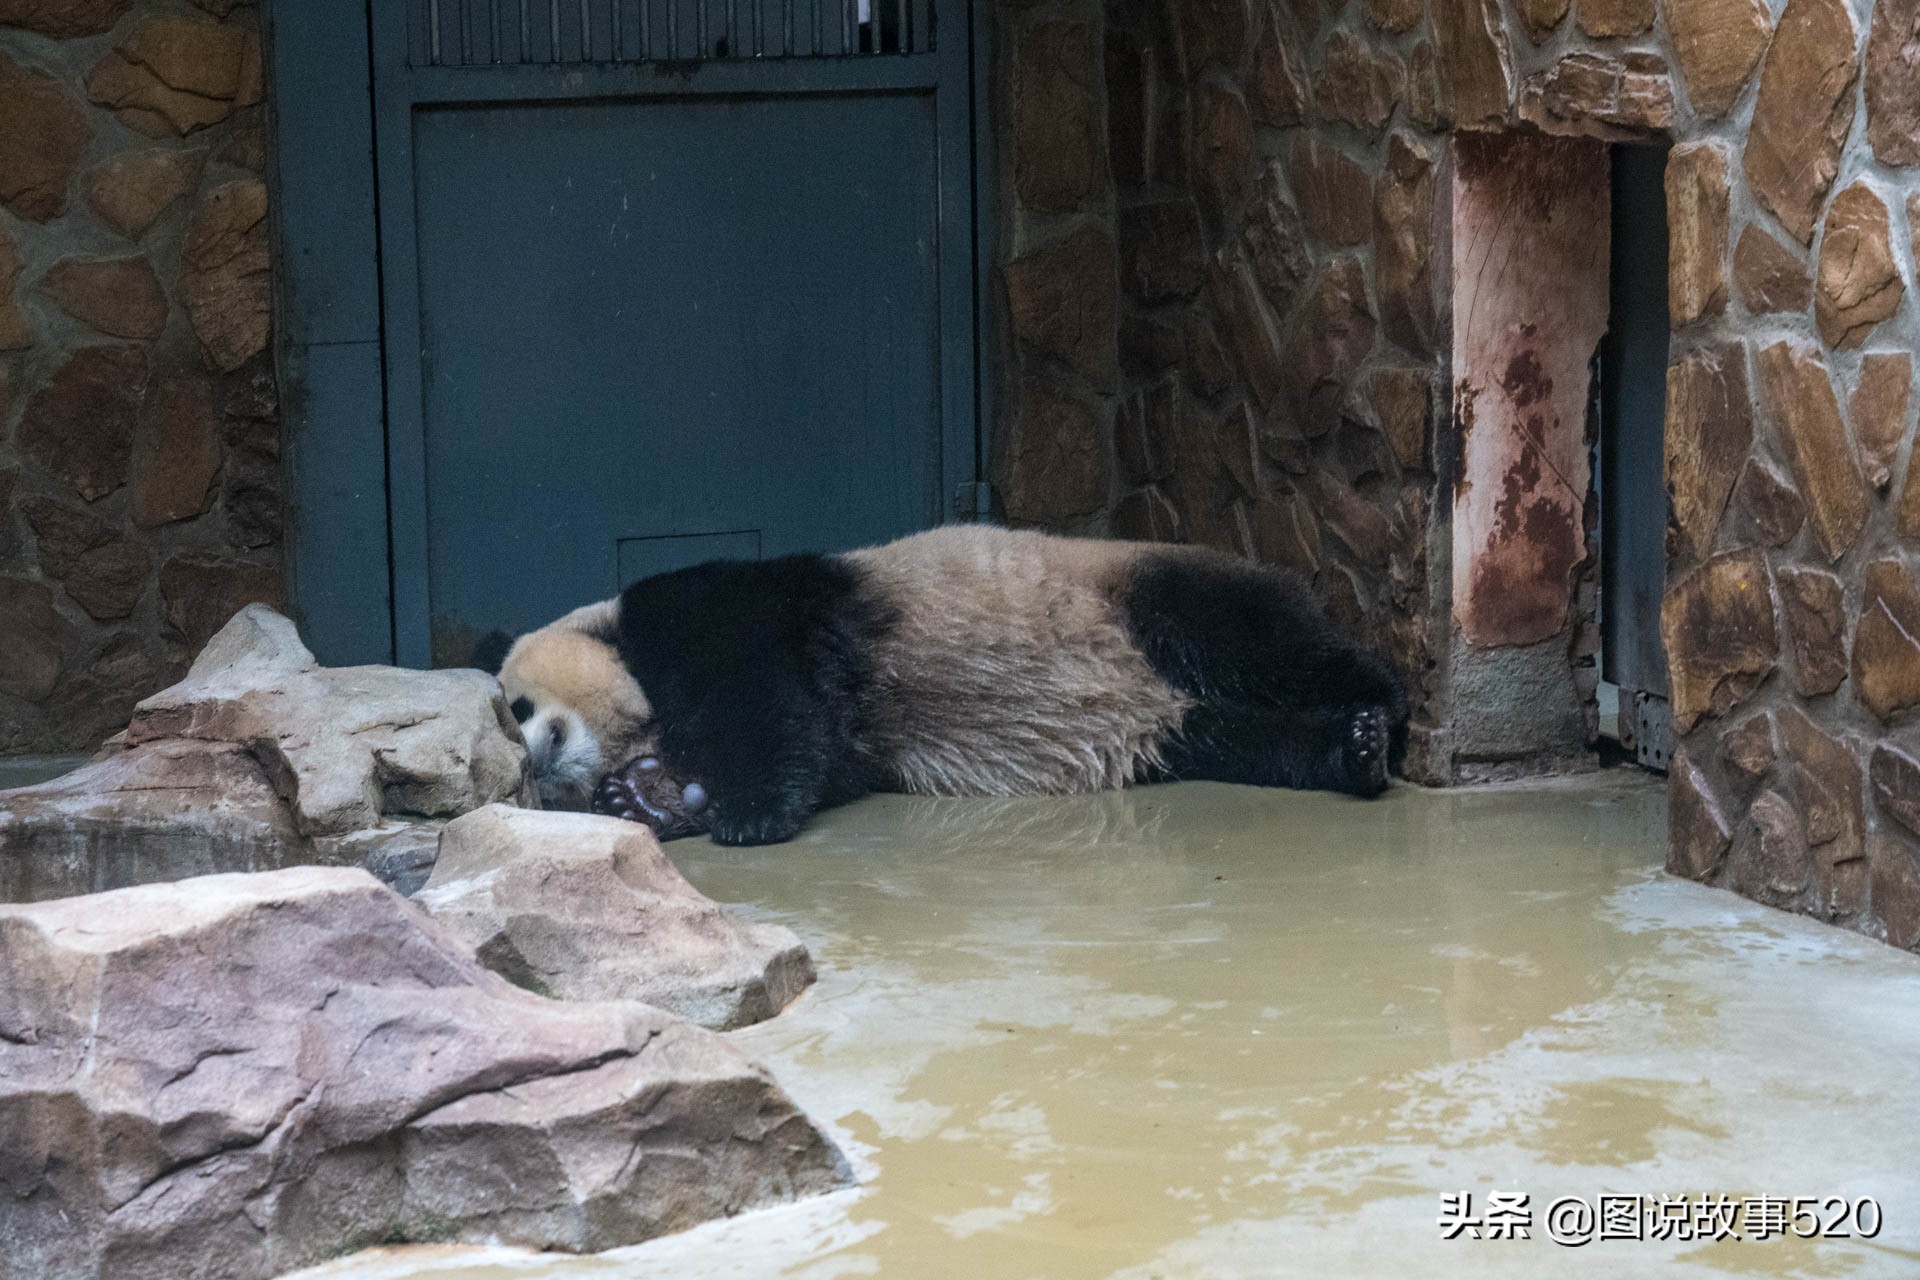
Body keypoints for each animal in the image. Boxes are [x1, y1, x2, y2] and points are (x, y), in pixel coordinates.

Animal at [480, 525, 1413, 844]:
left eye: (515, 708)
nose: (532, 762)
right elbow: (832, 749)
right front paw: (648, 798)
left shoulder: (716, 608)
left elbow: (774, 694)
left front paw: (746, 814)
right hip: (1181, 729)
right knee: (1245, 738)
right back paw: (1349, 750)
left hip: (1143, 594)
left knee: (1256, 640)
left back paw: (1387, 715)